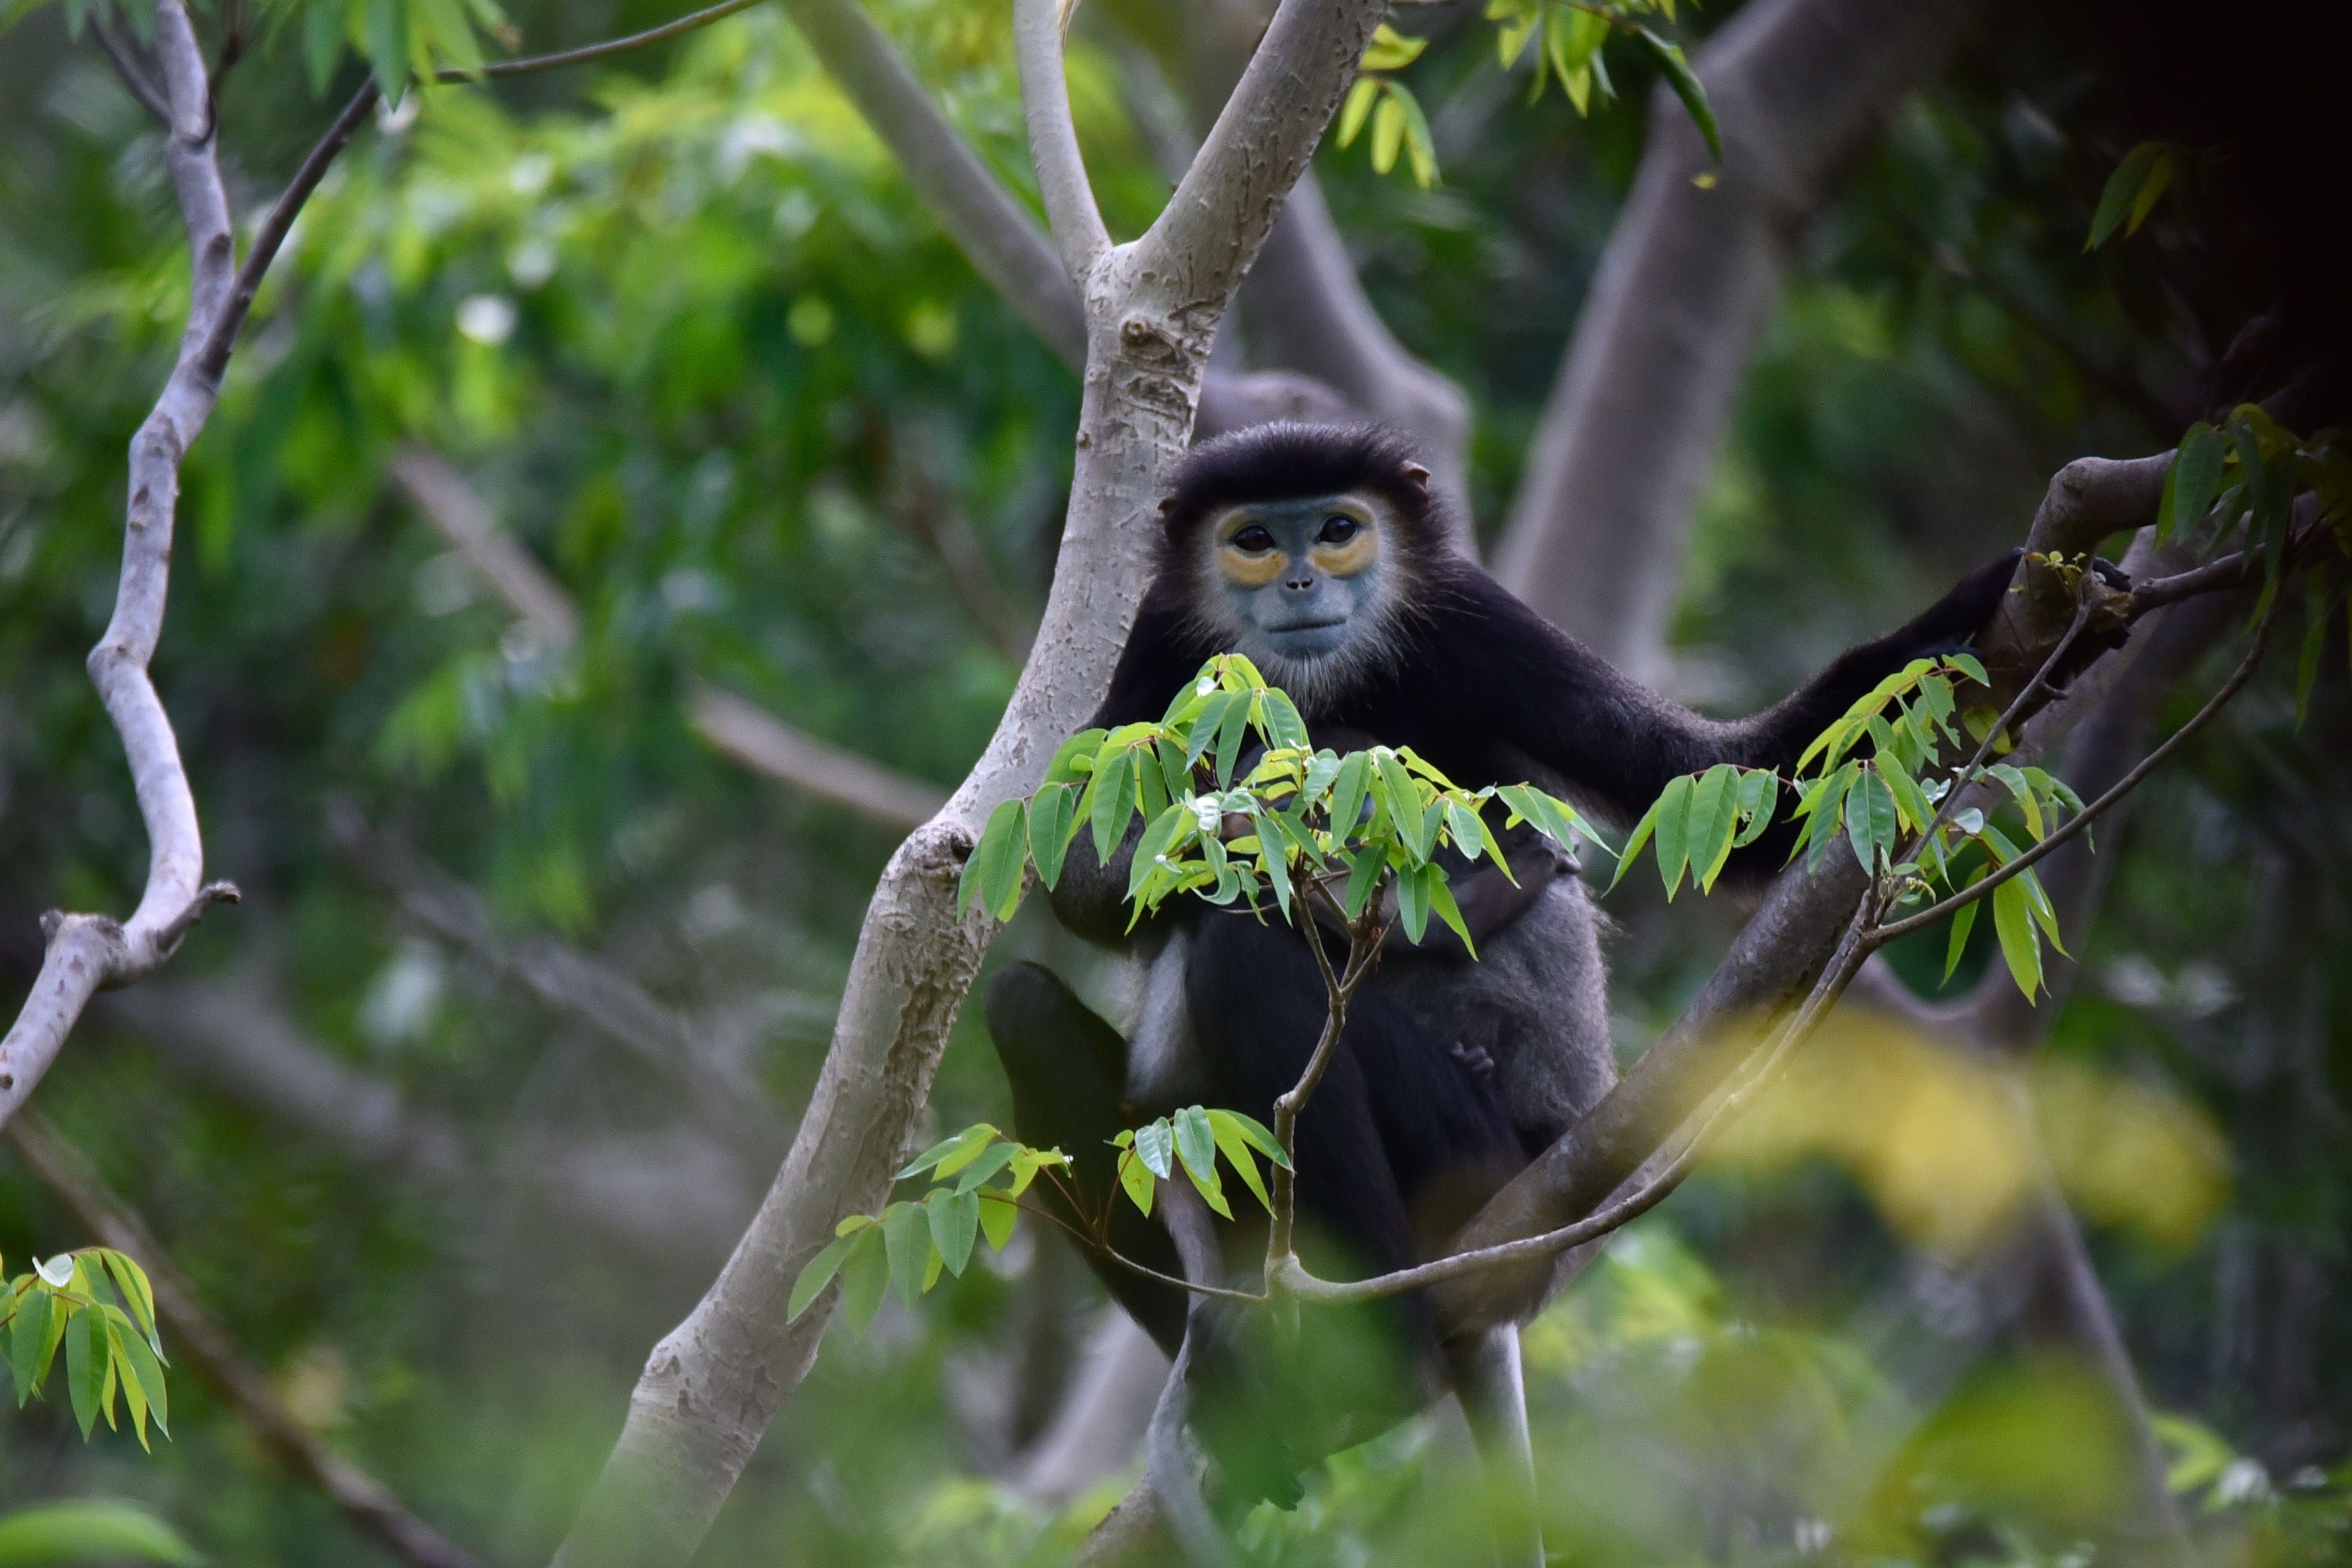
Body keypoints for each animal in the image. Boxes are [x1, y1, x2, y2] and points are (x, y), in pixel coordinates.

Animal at [985, 422, 2022, 1559]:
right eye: (1253, 540)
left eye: (1338, 529)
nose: (1301, 578)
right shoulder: (1162, 643)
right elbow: (1079, 876)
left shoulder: (1477, 620)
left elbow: (1722, 781)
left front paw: (1980, 601)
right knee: (1028, 1005)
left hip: (1485, 1170)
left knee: (1240, 956)